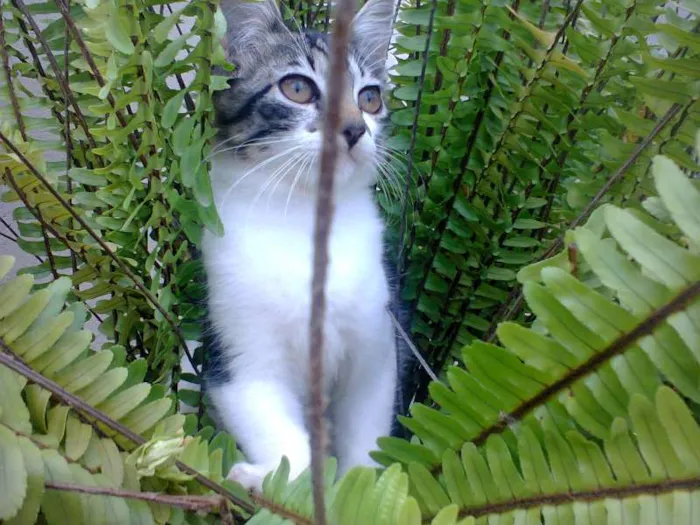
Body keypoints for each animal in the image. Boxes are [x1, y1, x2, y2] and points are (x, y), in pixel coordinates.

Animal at [202, 0, 410, 492]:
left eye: (369, 98)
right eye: (297, 88)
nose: (354, 129)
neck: (302, 221)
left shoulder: (377, 351)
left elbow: (365, 440)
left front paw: (363, 490)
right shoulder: (239, 364)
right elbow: (285, 445)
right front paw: (271, 480)